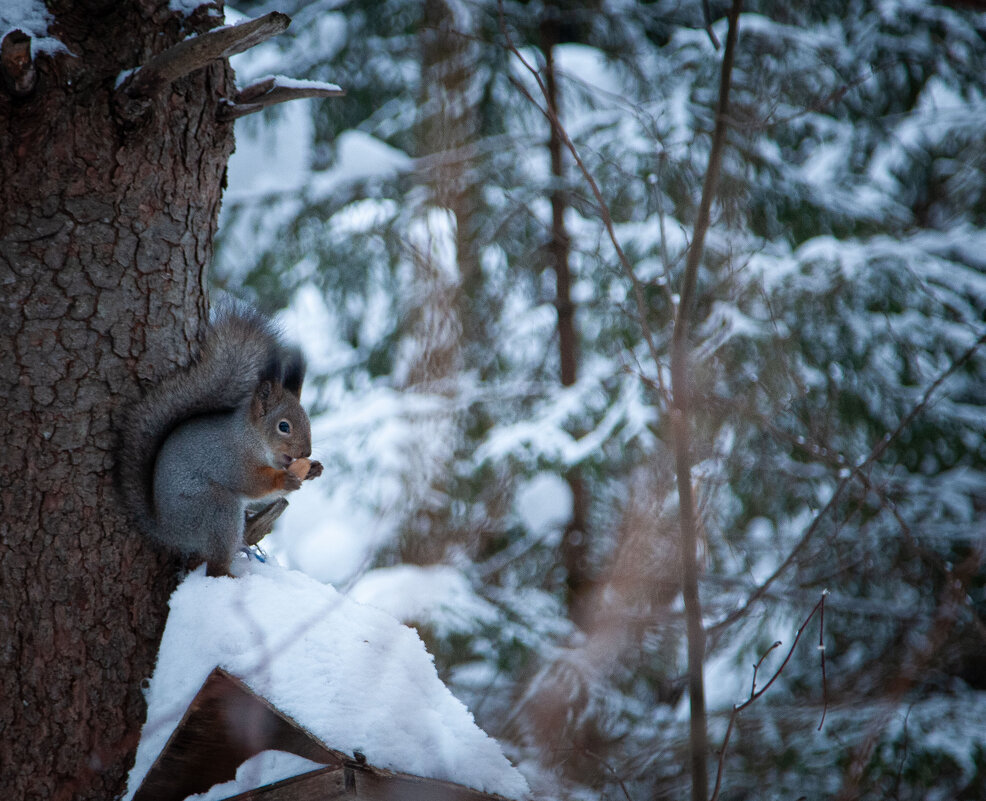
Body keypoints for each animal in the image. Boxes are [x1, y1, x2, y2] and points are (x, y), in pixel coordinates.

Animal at [116, 306, 322, 576]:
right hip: (214, 508)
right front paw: (284, 478)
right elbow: (252, 484)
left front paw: (313, 469)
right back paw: (227, 575)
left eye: (307, 420)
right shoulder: (231, 459)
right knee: (214, 562)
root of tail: (166, 530)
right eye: (284, 426)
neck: (251, 438)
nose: (306, 452)